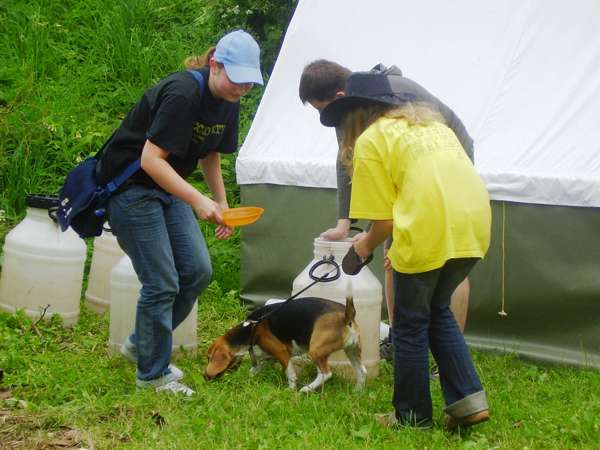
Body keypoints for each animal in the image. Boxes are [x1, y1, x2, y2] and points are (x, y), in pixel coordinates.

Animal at [205, 298, 366, 392]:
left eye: (208, 358)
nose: (204, 377)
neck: (251, 328)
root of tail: (345, 316)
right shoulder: (269, 358)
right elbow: (254, 370)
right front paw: (248, 378)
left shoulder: (281, 352)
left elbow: (290, 374)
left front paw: (290, 390)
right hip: (352, 351)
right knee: (361, 371)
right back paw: (358, 392)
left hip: (315, 351)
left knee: (326, 373)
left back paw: (306, 389)